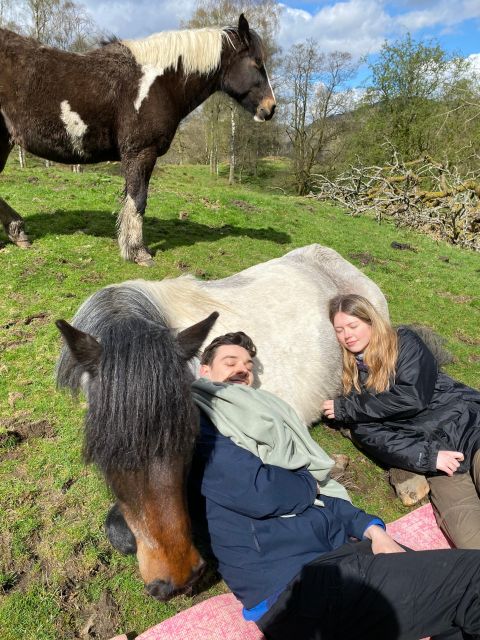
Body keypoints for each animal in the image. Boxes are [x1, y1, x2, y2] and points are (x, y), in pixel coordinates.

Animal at [0, 15, 275, 265]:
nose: (270, 108)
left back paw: (18, 232)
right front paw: (137, 251)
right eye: (257, 62)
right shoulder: (141, 151)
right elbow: (138, 199)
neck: (158, 83)